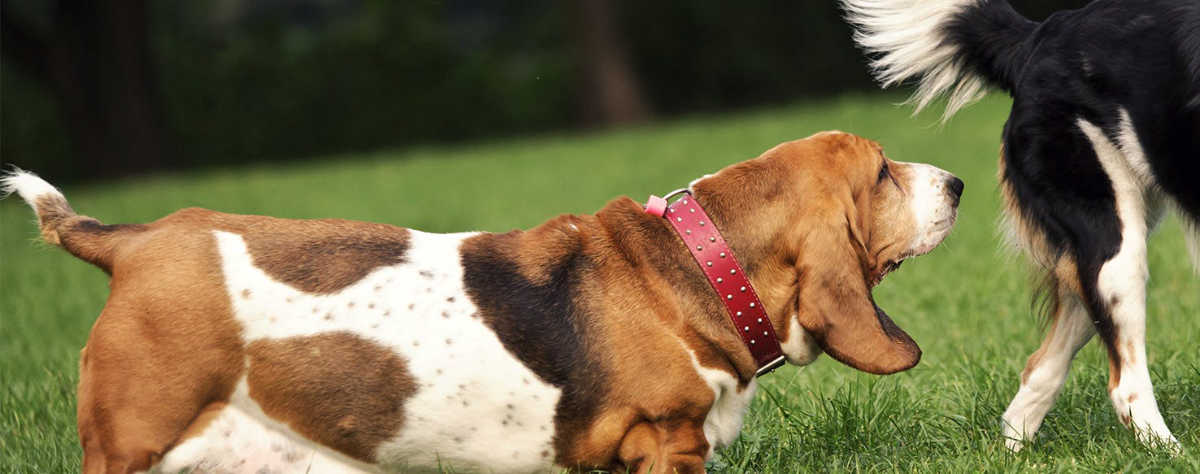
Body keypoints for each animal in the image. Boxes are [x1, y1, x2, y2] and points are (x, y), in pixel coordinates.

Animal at [0, 130, 955, 474]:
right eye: (881, 173)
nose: (956, 182)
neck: (696, 258)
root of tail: (132, 241)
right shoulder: (666, 443)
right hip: (133, 446)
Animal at [840, 0, 1195, 453]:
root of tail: (1036, 36)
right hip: (1113, 241)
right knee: (1123, 384)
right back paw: (1174, 455)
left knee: (1041, 367)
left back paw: (1013, 451)